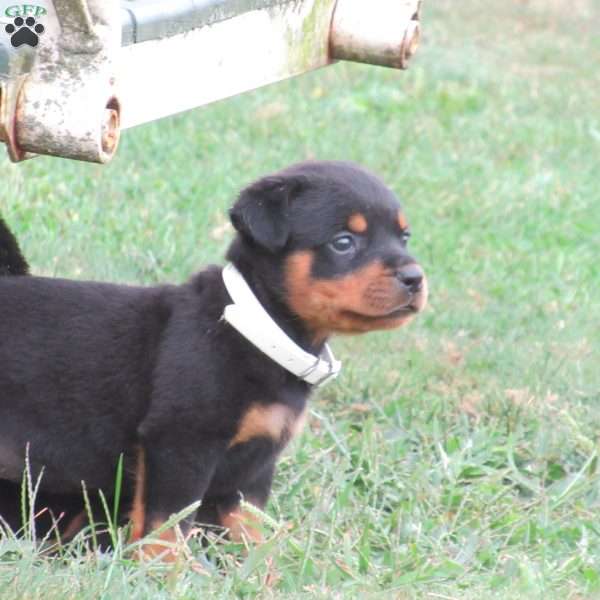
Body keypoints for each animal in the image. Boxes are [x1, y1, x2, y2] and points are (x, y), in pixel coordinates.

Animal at [1, 161, 432, 556]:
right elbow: (167, 525)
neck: (256, 326)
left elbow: (250, 530)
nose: (415, 277)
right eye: (343, 242)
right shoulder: (181, 444)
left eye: (404, 237)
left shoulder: (254, 465)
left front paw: (259, 574)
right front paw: (169, 574)